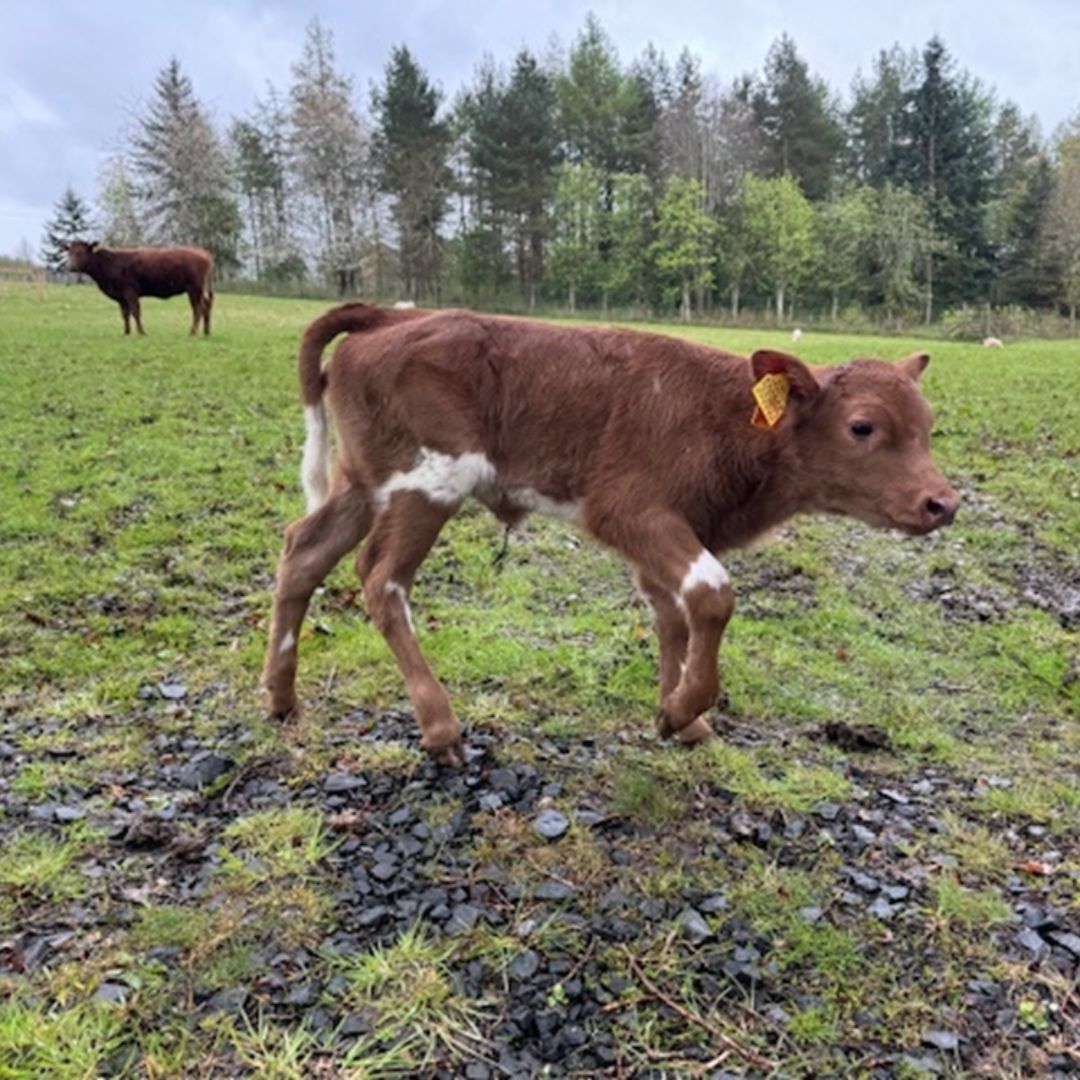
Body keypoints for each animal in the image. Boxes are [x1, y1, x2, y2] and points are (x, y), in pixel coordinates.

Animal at [66, 241, 213, 334]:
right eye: (70, 253)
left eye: (80, 253)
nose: (71, 267)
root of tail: (202, 251)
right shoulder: (121, 297)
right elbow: (124, 314)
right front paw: (126, 332)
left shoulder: (130, 291)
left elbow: (135, 311)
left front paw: (141, 332)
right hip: (199, 290)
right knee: (206, 306)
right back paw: (206, 332)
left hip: (194, 289)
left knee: (198, 308)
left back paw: (193, 332)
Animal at [261, 300, 963, 764]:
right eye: (862, 427)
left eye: (928, 424)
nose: (943, 502)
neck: (726, 421)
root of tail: (387, 316)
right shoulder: (629, 508)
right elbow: (712, 594)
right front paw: (683, 707)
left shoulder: (673, 529)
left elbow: (672, 614)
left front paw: (681, 717)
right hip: (426, 482)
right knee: (382, 580)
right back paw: (440, 725)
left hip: (361, 481)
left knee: (303, 552)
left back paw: (281, 697)